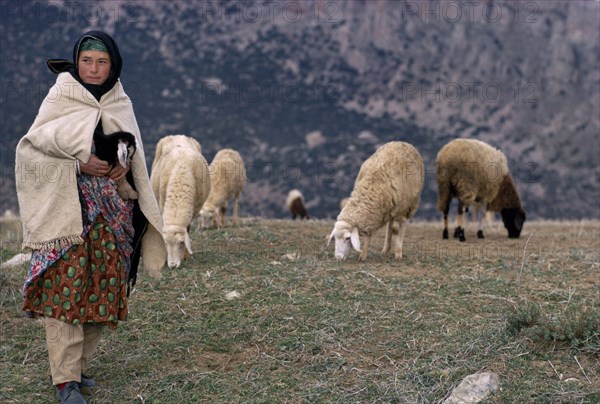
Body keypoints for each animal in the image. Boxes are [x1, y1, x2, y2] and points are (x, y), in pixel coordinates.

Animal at [150, 135, 211, 268]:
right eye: (165, 243)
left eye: (181, 243)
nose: (172, 265)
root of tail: (179, 136)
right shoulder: (162, 203)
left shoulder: (194, 209)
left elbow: (187, 229)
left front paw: (185, 255)